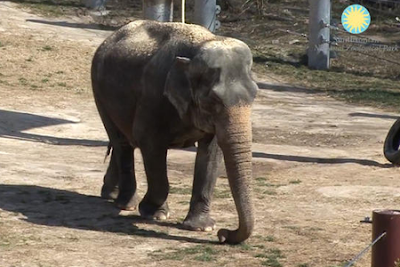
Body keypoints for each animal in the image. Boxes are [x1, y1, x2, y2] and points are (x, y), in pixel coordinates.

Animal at [91, 19, 258, 244]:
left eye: (254, 95)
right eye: (213, 100)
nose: (223, 234)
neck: (200, 46)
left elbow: (211, 154)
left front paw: (201, 227)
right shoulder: (153, 97)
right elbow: (149, 143)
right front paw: (155, 214)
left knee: (121, 143)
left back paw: (110, 195)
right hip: (99, 92)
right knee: (122, 143)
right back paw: (126, 204)